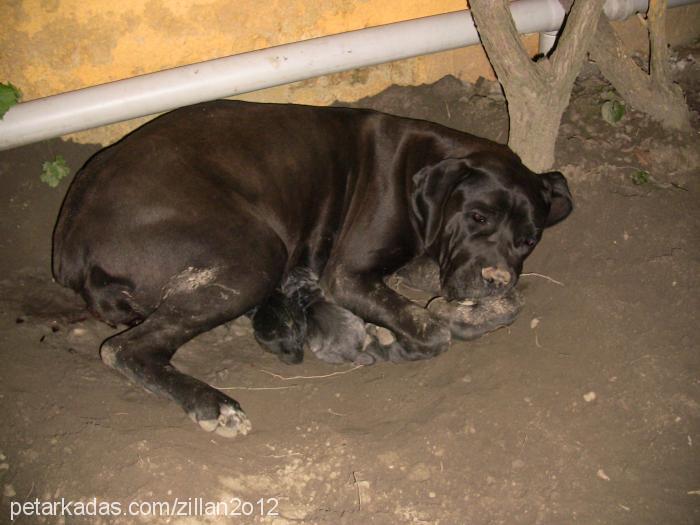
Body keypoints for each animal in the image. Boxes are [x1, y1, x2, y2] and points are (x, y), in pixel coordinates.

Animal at [52, 100, 572, 436]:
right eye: (478, 217)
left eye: (528, 240)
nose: (496, 279)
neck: (423, 168)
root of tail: (71, 233)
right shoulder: (346, 273)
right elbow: (431, 328)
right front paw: (406, 335)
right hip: (253, 255)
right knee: (124, 348)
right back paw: (214, 405)